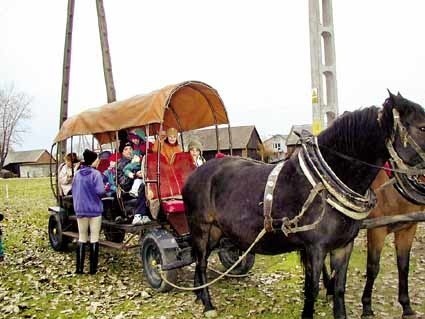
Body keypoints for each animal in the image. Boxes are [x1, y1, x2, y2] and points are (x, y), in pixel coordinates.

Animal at [181, 93, 424, 319]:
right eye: (422, 126)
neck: (325, 184)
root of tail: (194, 175)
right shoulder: (315, 249)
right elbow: (311, 290)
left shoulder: (343, 246)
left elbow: (339, 288)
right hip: (201, 229)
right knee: (201, 264)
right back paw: (208, 305)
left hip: (216, 232)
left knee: (200, 261)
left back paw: (199, 294)